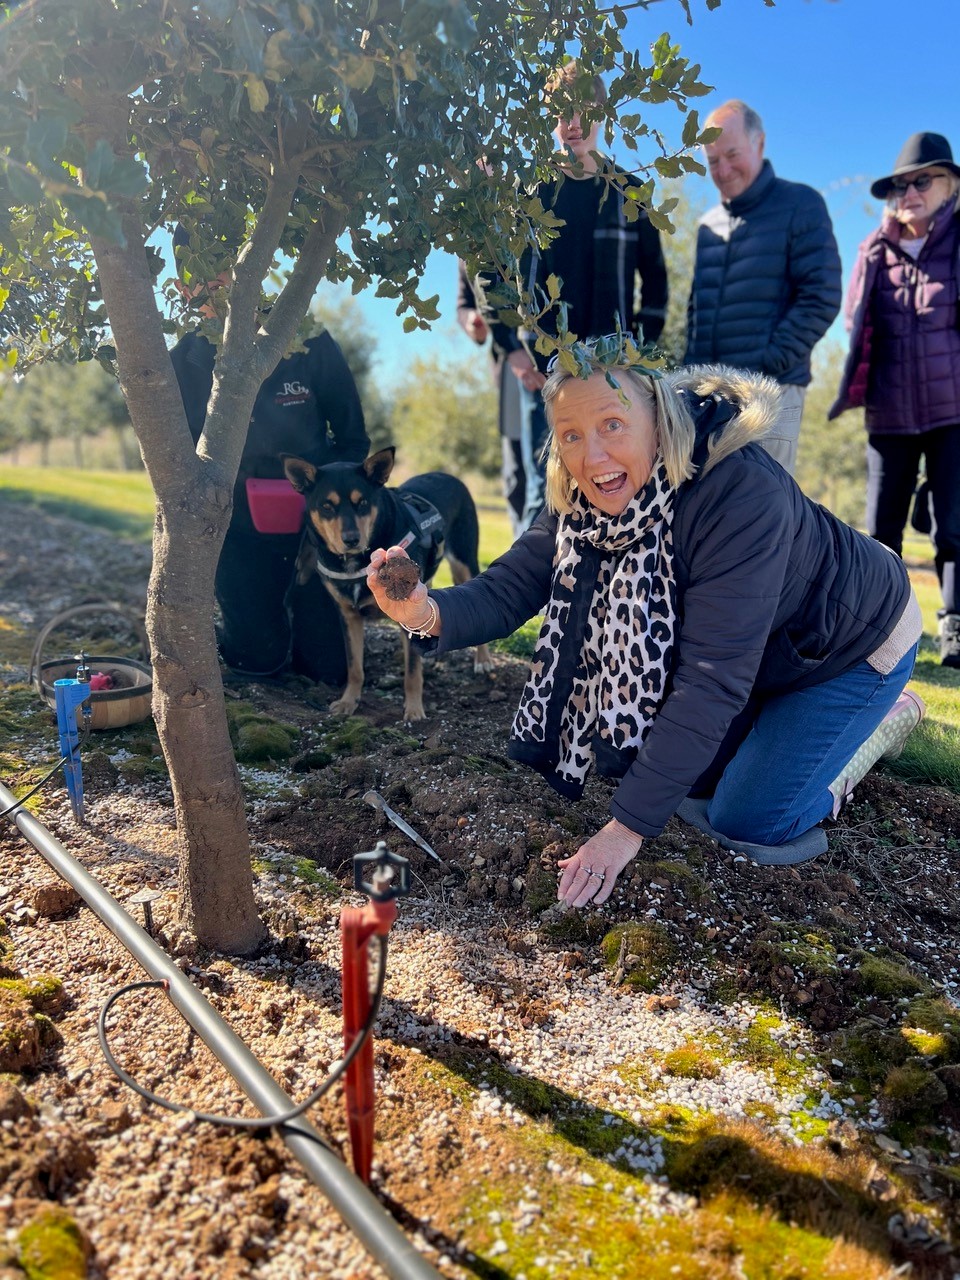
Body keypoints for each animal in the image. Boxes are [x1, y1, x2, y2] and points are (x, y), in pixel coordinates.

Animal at [284, 448, 496, 721]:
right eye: (327, 506)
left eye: (363, 503)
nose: (351, 539)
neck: (356, 562)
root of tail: (447, 475)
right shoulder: (348, 616)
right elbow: (354, 666)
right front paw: (348, 702)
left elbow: (412, 672)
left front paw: (414, 709)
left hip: (464, 563)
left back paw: (482, 660)